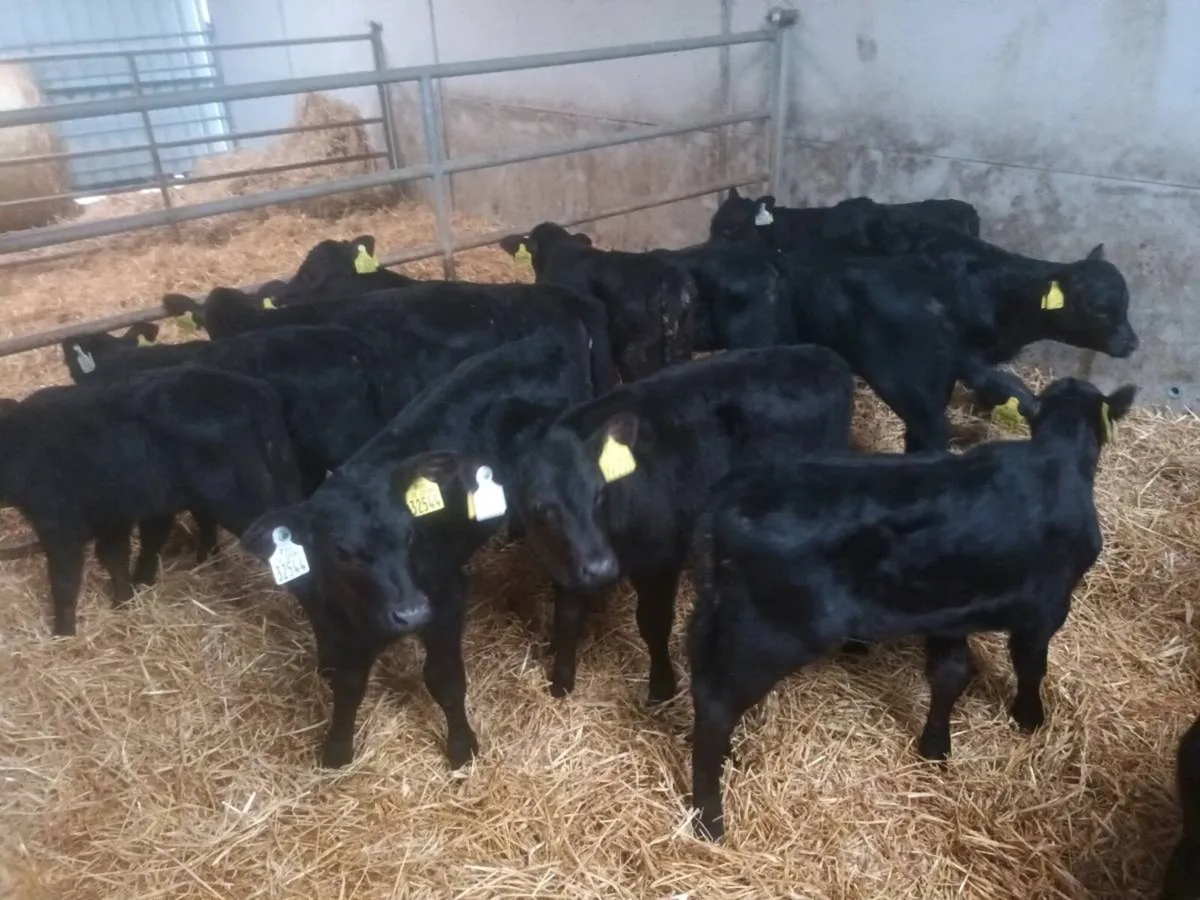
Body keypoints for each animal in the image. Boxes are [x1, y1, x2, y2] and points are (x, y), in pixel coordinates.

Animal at [0, 366, 304, 636]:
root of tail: (256, 391)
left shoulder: (58, 522)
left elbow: (65, 580)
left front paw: (63, 633)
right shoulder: (111, 514)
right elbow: (114, 558)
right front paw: (124, 602)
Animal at [240, 327, 597, 769]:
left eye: (409, 535)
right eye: (342, 552)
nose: (410, 613)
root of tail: (548, 337)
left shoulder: (445, 598)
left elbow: (444, 678)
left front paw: (462, 748)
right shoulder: (340, 623)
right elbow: (348, 685)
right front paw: (337, 750)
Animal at [513, 345, 855, 704]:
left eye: (600, 493)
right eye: (541, 507)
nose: (601, 568)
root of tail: (822, 355)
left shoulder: (659, 557)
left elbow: (653, 623)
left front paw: (662, 688)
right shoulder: (567, 563)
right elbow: (567, 618)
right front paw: (560, 682)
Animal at [686, 376, 1135, 840]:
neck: (1057, 457)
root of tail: (730, 494)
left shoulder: (950, 606)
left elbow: (950, 675)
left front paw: (935, 746)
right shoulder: (1047, 605)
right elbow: (1030, 666)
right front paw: (1029, 717)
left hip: (715, 615)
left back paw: (725, 757)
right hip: (773, 632)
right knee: (716, 701)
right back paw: (709, 819)